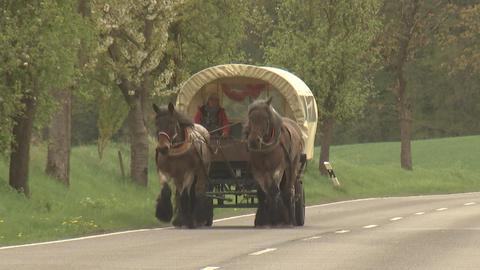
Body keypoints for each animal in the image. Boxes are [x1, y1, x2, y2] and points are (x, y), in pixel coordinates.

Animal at [244, 97, 304, 226]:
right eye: (251, 118)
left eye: (265, 119)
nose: (253, 141)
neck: (266, 150)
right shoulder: (258, 170)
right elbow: (263, 193)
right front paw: (263, 220)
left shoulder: (277, 167)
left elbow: (273, 190)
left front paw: (274, 219)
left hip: (292, 165)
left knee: (289, 190)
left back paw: (291, 219)